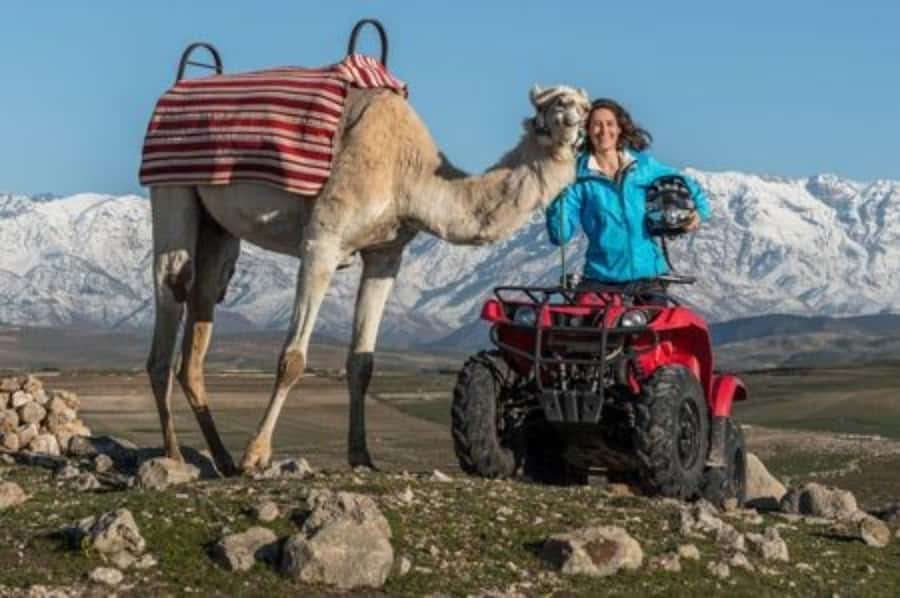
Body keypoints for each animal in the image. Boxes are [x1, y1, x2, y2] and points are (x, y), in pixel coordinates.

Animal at [146, 84, 590, 475]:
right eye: (553, 104)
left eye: (584, 104)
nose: (575, 121)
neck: (410, 175)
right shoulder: (323, 240)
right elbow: (292, 359)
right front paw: (256, 456)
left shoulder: (386, 254)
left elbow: (362, 362)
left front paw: (361, 456)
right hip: (171, 187)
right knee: (172, 286)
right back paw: (176, 456)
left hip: (218, 227)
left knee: (202, 305)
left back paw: (220, 458)